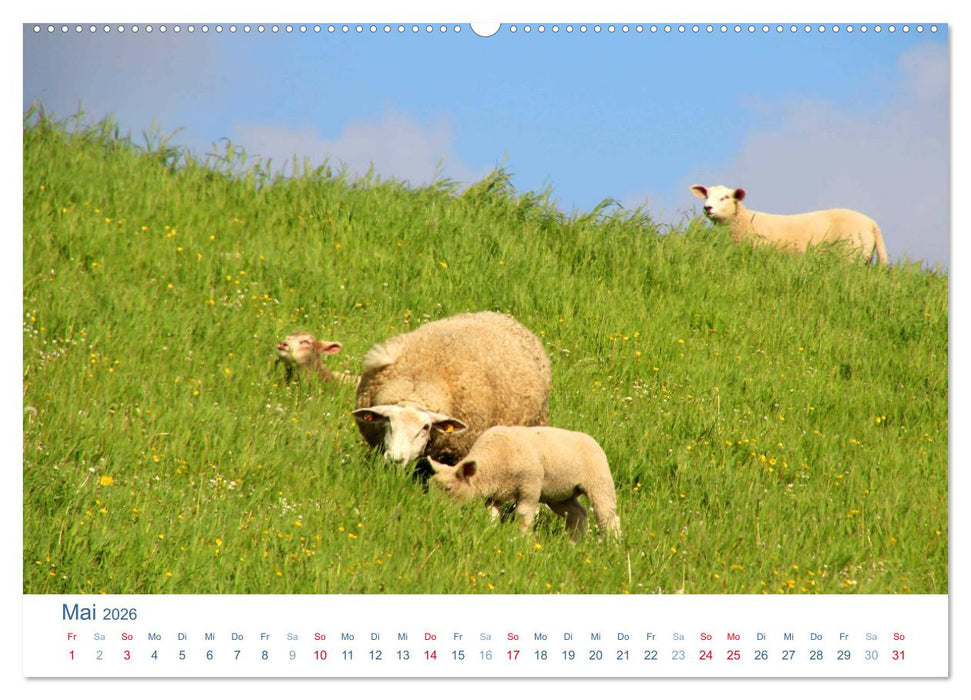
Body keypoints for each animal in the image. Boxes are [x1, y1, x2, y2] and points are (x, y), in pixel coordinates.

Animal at [428, 425, 621, 541]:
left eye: (448, 488)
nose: (435, 513)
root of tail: (591, 439)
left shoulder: (529, 487)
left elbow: (523, 515)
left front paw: (522, 540)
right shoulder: (494, 496)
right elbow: (491, 515)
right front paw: (490, 533)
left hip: (600, 481)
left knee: (607, 516)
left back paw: (611, 546)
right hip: (559, 495)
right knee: (578, 514)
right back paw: (574, 544)